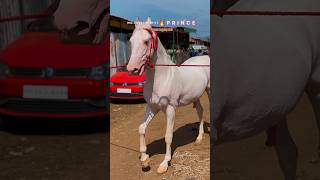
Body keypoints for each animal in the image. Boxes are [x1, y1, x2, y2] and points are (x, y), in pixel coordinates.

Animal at [126, 17, 211, 174]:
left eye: (146, 41)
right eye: (131, 40)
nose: (132, 69)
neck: (162, 78)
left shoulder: (171, 109)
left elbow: (168, 136)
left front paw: (164, 163)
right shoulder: (152, 107)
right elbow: (141, 128)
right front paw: (145, 160)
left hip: (209, 90)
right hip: (195, 96)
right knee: (200, 111)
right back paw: (199, 138)